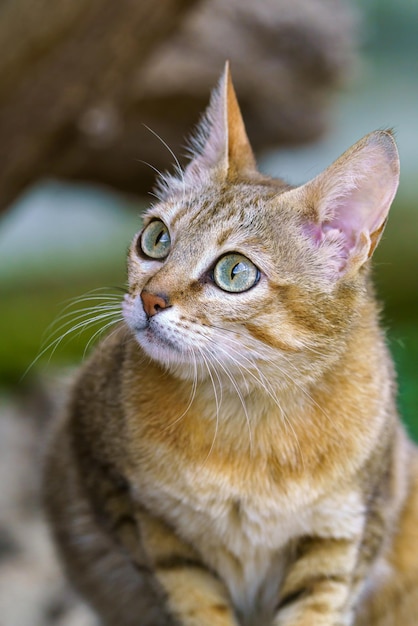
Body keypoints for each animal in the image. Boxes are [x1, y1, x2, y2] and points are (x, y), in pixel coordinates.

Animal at [42, 64, 418, 624]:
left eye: (234, 272)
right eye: (156, 239)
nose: (150, 298)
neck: (249, 408)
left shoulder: (343, 539)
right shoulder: (140, 515)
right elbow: (198, 605)